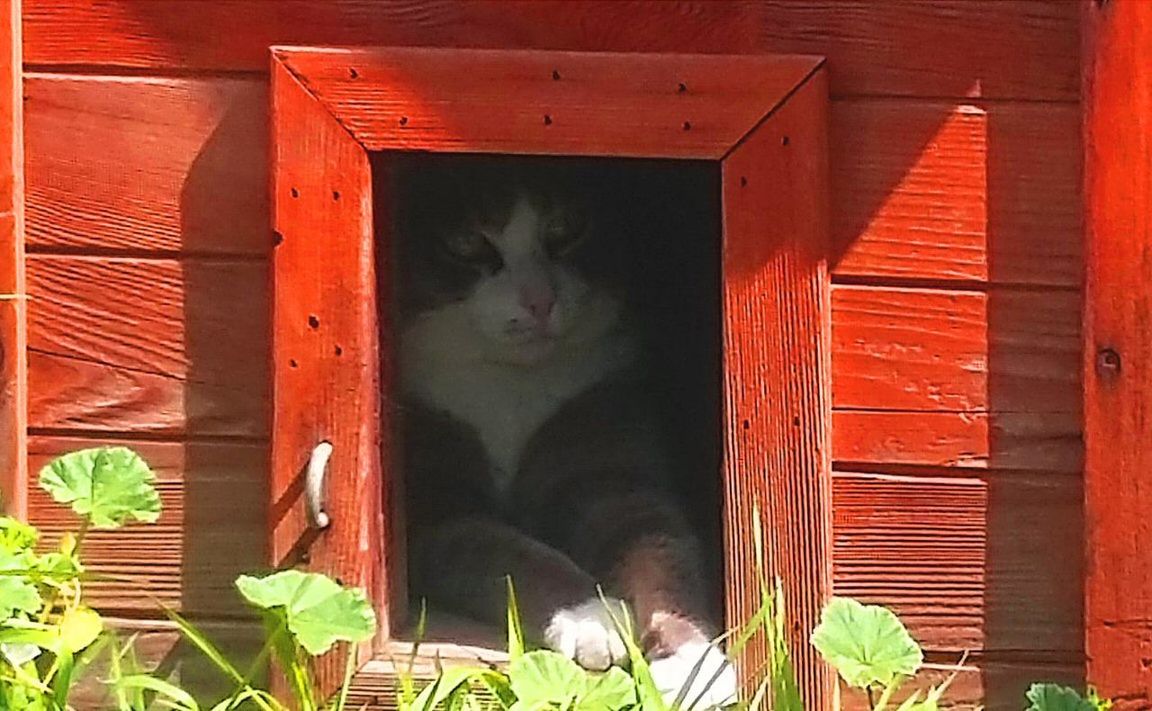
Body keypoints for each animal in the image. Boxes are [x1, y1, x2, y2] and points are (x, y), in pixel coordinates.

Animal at [391, 155, 732, 705]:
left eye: (567, 226)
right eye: (465, 242)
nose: (539, 300)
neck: (511, 384)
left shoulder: (606, 466)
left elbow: (659, 545)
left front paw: (691, 665)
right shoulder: (437, 505)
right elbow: (507, 550)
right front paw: (594, 618)